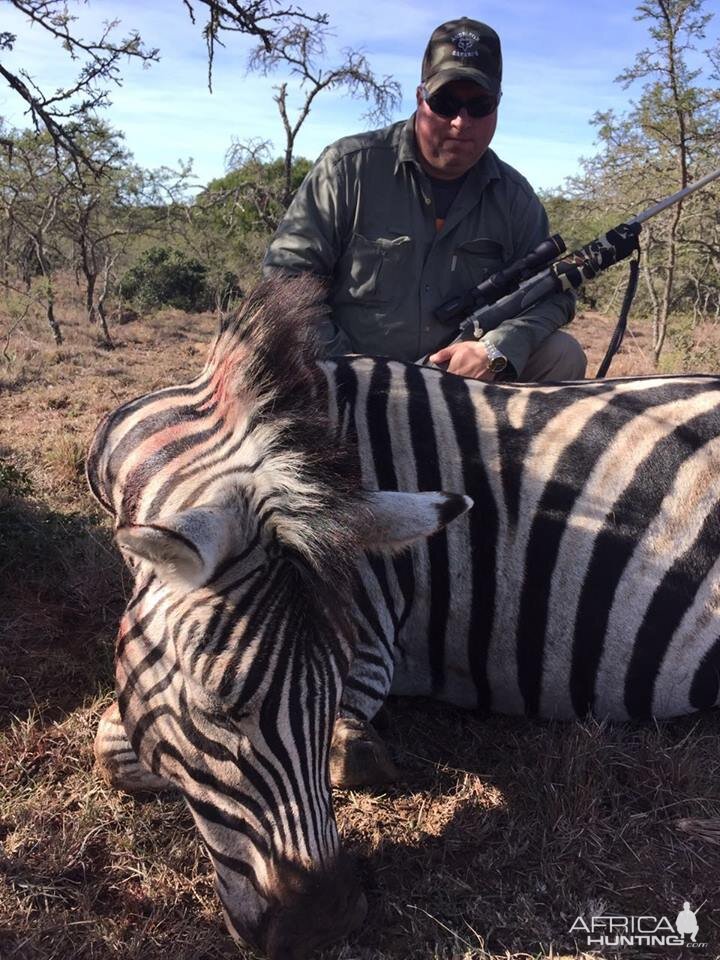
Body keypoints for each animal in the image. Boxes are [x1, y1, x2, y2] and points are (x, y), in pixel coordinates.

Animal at [87, 274, 720, 956]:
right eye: (213, 707)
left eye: (333, 686)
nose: (324, 923)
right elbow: (115, 745)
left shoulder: (373, 636)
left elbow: (123, 746)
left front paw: (358, 750)